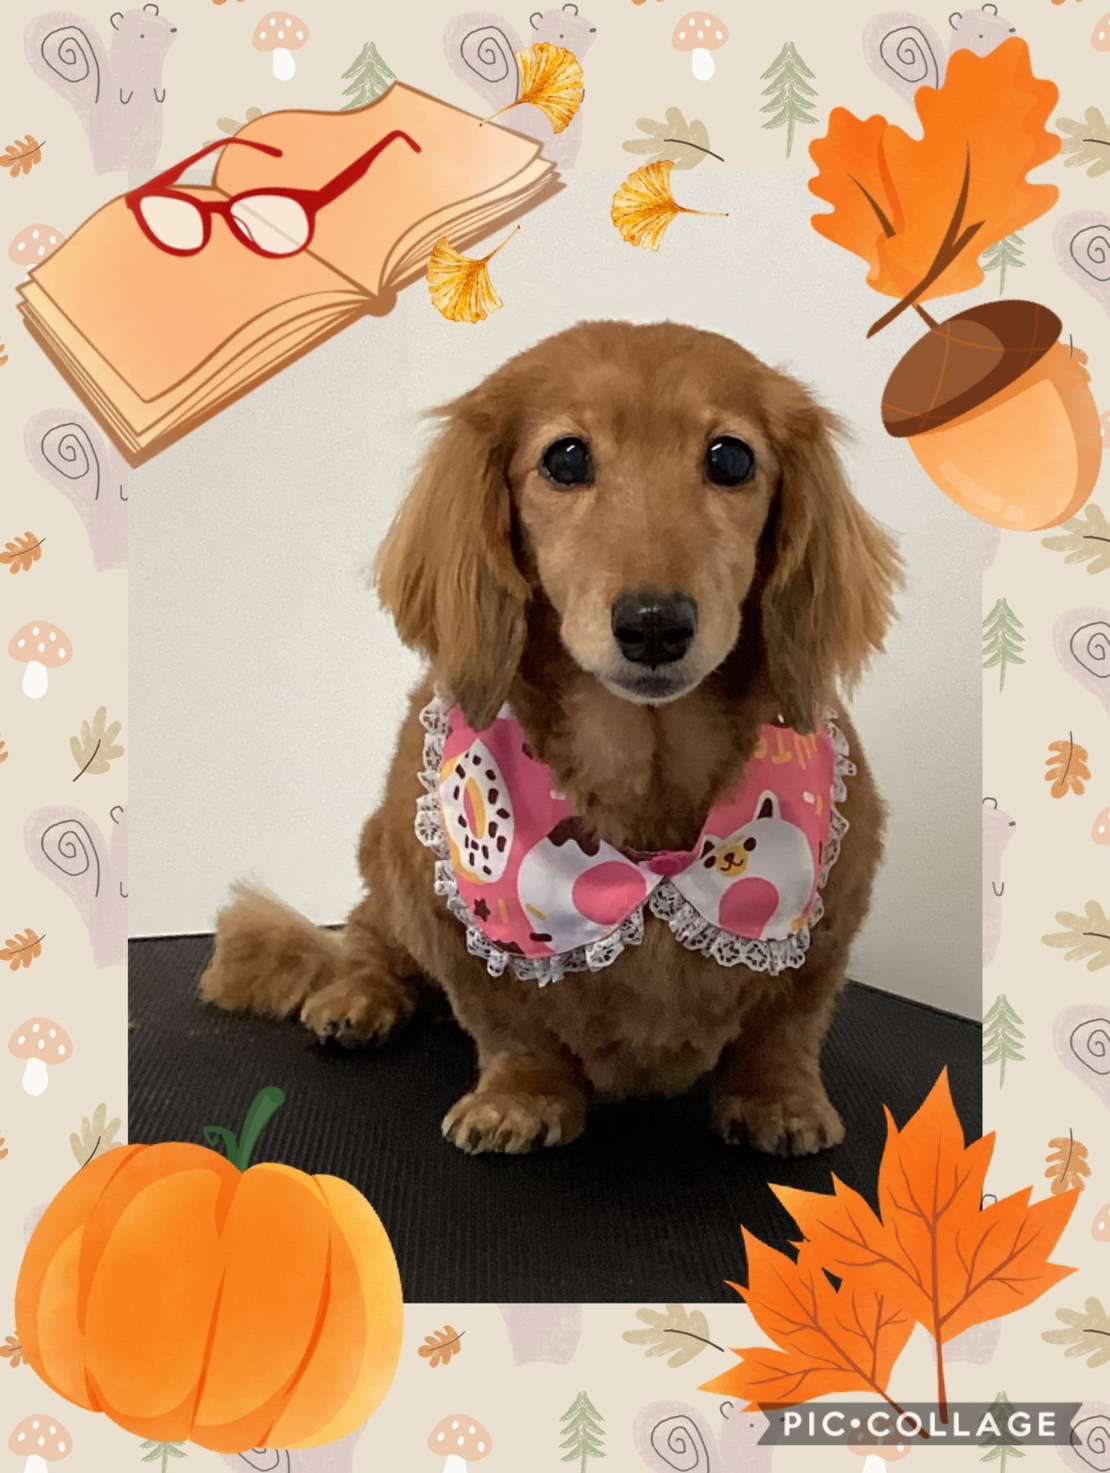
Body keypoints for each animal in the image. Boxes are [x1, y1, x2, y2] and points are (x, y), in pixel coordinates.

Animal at [199, 320, 901, 1156]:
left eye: (730, 458)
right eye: (566, 457)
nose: (655, 624)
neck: (647, 778)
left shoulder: (830, 920)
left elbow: (787, 1025)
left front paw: (778, 1099)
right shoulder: (460, 925)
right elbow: (511, 1025)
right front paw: (520, 1100)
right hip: (387, 856)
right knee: (370, 937)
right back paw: (356, 997)